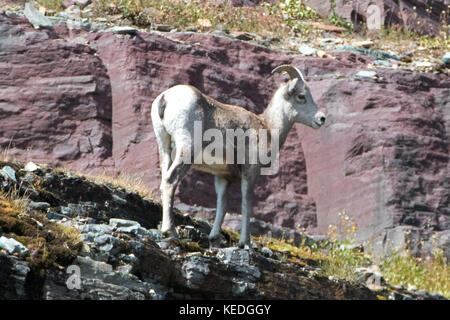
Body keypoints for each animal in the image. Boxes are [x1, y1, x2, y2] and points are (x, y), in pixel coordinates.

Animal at [153, 64, 326, 245]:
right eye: (301, 96)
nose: (321, 118)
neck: (268, 127)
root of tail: (165, 97)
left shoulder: (222, 177)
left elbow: (222, 205)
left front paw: (214, 237)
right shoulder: (250, 173)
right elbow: (246, 205)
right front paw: (245, 242)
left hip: (164, 146)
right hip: (186, 150)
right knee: (170, 181)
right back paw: (170, 231)